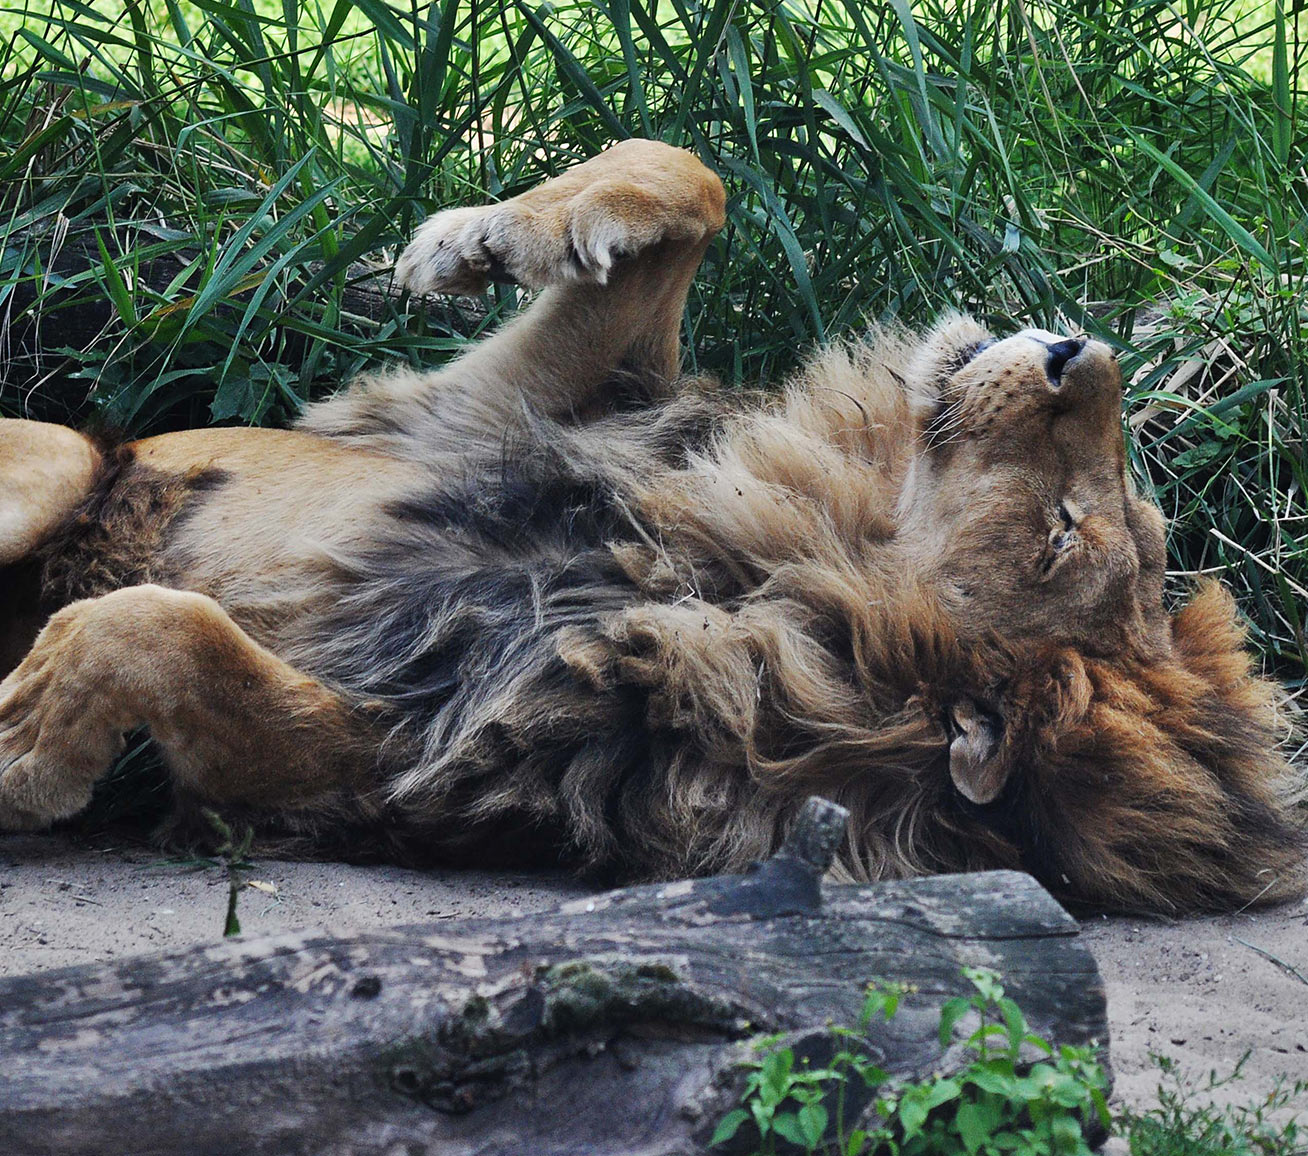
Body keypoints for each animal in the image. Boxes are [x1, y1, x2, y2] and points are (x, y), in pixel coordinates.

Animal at [0, 140, 1302, 913]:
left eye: (1063, 533)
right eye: (1125, 513)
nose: (1083, 350)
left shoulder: (387, 752)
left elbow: (168, 633)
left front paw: (28, 738)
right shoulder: (475, 416)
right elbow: (692, 179)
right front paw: (475, 240)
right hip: (54, 464)